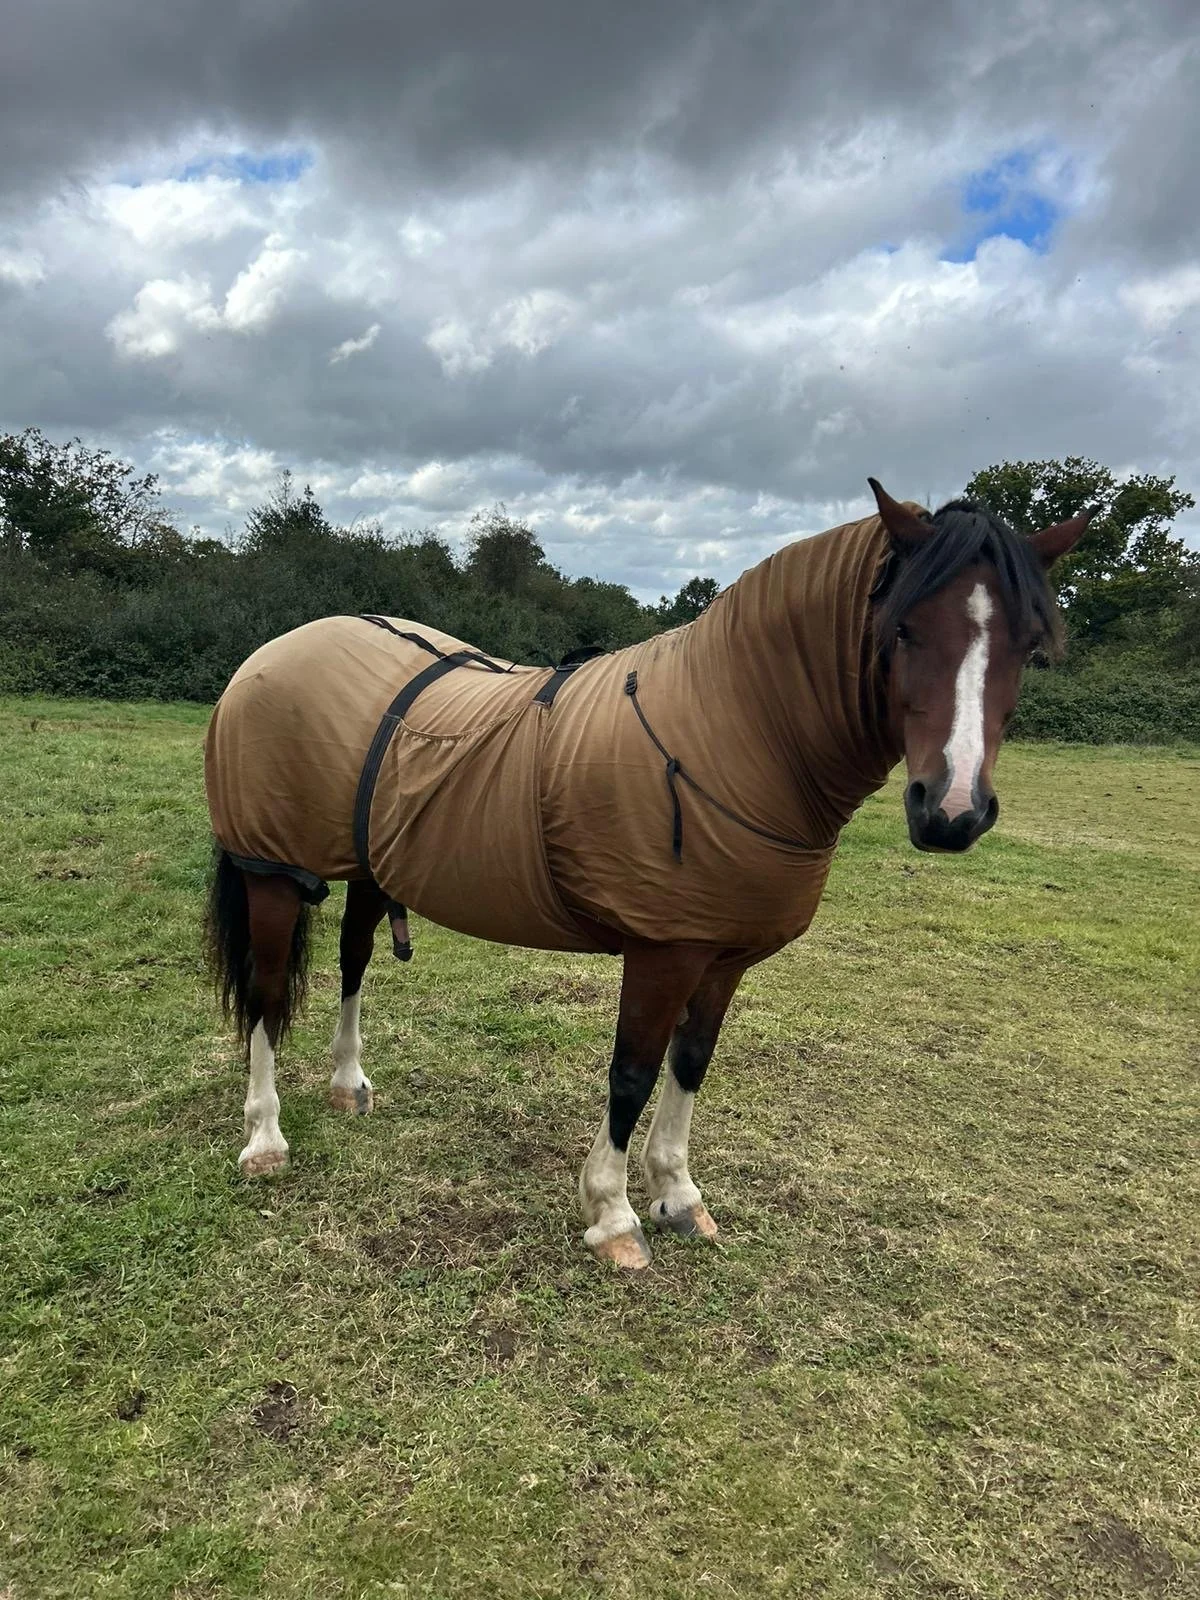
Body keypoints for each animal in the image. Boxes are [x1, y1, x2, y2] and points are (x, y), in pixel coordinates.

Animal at [203, 480, 1092, 1269]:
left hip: (365, 863)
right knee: (268, 993)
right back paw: (265, 1137)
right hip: (272, 875)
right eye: (903, 630)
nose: (952, 811)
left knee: (353, 962)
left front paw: (677, 1194)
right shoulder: (664, 949)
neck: (734, 730)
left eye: (1028, 647)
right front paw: (613, 1214)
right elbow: (630, 1075)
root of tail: (274, 652)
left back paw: (347, 1083)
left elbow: (690, 1062)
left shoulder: (724, 952)